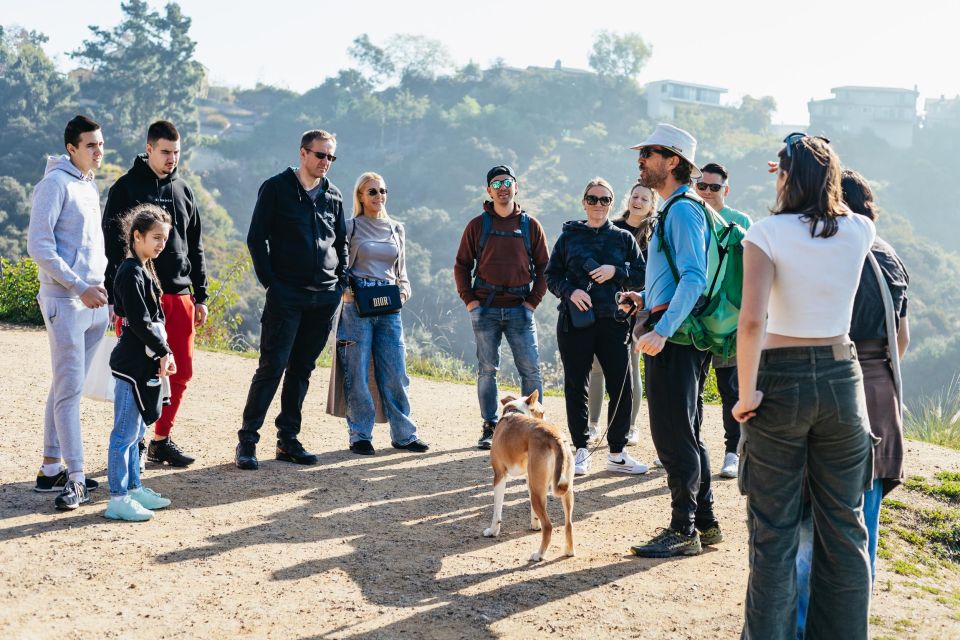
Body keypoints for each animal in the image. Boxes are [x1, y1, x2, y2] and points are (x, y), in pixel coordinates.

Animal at [484, 390, 572, 560]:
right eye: (542, 413)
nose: (546, 419)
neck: (515, 411)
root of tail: (555, 436)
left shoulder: (499, 475)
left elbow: (497, 511)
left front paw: (492, 531)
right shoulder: (528, 478)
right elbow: (533, 511)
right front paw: (534, 525)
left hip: (538, 490)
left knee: (548, 526)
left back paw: (539, 555)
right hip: (560, 490)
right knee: (568, 523)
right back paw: (569, 551)